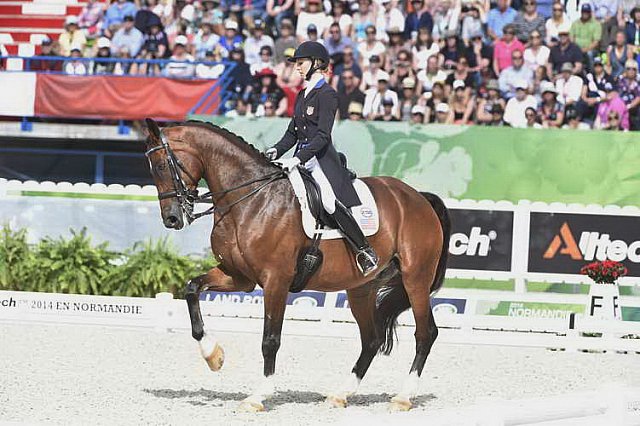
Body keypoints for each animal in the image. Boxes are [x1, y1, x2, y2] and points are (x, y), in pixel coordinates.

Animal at [144, 118, 450, 412]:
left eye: (161, 165)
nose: (171, 219)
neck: (252, 199)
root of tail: (418, 196)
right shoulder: (239, 277)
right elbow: (192, 289)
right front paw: (213, 356)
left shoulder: (275, 280)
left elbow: (270, 339)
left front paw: (258, 396)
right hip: (362, 287)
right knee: (371, 339)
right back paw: (340, 394)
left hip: (415, 279)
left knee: (425, 334)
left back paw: (403, 397)